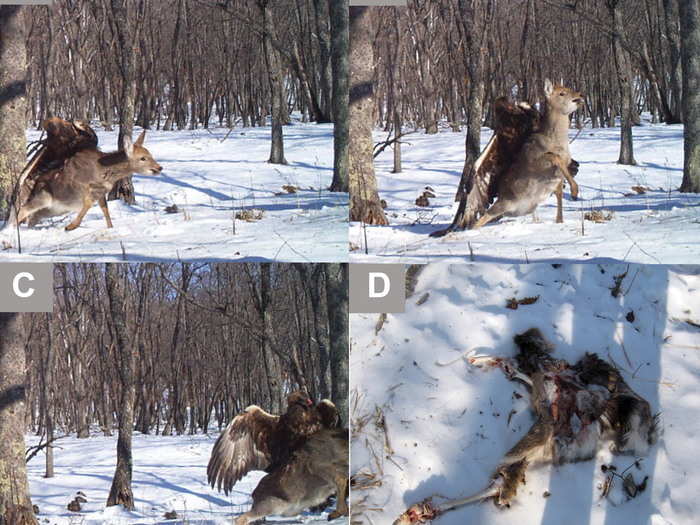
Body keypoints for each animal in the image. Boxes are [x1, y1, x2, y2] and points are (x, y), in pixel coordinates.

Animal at [18, 130, 163, 229]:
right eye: (143, 158)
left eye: (150, 154)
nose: (159, 167)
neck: (104, 172)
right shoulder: (80, 186)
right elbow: (88, 203)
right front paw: (71, 226)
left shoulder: (101, 192)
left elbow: (105, 209)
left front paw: (110, 227)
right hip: (43, 197)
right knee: (23, 210)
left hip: (52, 210)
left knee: (32, 218)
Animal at [474, 80, 584, 227]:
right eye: (561, 93)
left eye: (568, 88)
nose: (580, 95)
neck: (558, 142)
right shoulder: (535, 162)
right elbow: (553, 156)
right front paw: (574, 192)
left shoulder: (561, 171)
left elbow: (559, 192)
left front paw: (560, 219)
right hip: (501, 204)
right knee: (481, 219)